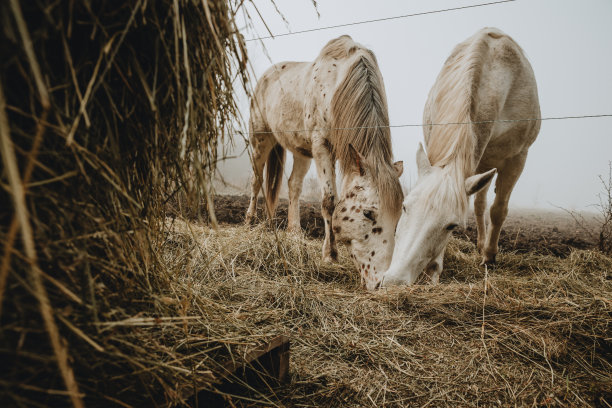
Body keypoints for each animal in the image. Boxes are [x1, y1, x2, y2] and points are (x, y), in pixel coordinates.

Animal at [246, 36, 404, 288]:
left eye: (398, 218)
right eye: (368, 213)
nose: (380, 281)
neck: (338, 82)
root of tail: (265, 76)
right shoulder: (322, 146)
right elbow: (329, 201)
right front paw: (330, 255)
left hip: (302, 152)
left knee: (293, 185)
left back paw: (294, 232)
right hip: (260, 140)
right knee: (255, 180)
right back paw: (249, 222)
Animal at [382, 27, 540, 286]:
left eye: (452, 226)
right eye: (404, 207)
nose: (394, 281)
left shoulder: (517, 158)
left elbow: (499, 210)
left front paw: (488, 258)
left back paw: (485, 250)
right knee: (479, 204)